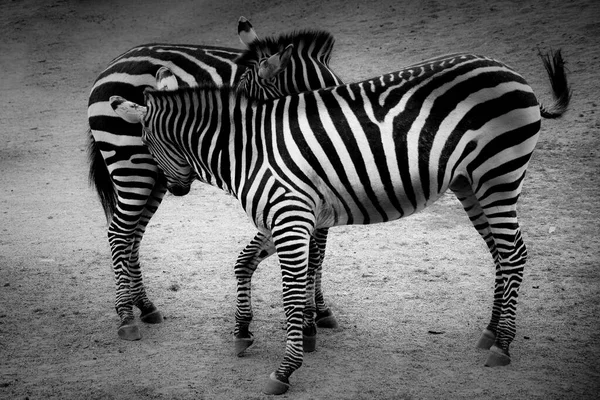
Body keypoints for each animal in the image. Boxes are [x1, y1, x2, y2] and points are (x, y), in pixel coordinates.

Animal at [87, 20, 344, 342]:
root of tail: (109, 68)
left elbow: (318, 251)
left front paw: (318, 310)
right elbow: (313, 252)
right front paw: (309, 319)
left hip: (159, 175)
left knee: (134, 234)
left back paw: (145, 305)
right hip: (131, 165)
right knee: (119, 232)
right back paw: (125, 315)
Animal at [109, 49, 572, 394]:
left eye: (145, 143)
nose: (175, 189)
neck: (247, 149)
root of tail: (510, 71)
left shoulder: (291, 217)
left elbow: (293, 292)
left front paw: (287, 366)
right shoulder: (284, 216)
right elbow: (243, 263)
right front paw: (243, 331)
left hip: (499, 173)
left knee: (514, 253)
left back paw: (504, 345)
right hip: (470, 183)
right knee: (501, 254)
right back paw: (492, 332)